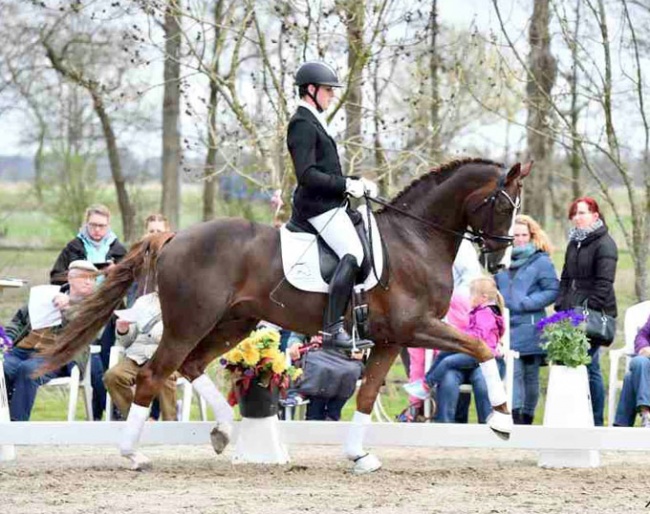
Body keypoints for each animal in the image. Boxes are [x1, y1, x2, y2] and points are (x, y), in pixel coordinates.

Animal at [39, 157, 528, 472]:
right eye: (506, 206)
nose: (501, 263)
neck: (415, 239)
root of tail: (175, 237)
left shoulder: (393, 338)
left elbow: (368, 396)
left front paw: (359, 456)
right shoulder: (417, 327)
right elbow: (481, 347)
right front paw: (502, 421)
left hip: (233, 323)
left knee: (190, 366)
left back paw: (224, 431)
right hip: (191, 321)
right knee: (155, 374)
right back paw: (133, 455)